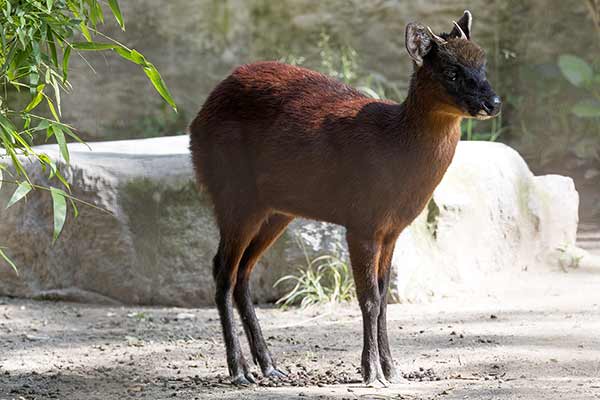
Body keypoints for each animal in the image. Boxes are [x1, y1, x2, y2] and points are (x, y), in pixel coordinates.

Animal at [189, 10, 502, 386]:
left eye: (483, 64)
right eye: (452, 71)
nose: (493, 103)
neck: (394, 147)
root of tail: (198, 118)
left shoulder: (392, 230)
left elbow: (383, 300)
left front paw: (393, 370)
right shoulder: (362, 221)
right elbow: (368, 298)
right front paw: (371, 372)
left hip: (275, 209)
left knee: (242, 274)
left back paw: (269, 366)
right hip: (233, 193)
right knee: (222, 270)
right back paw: (239, 371)